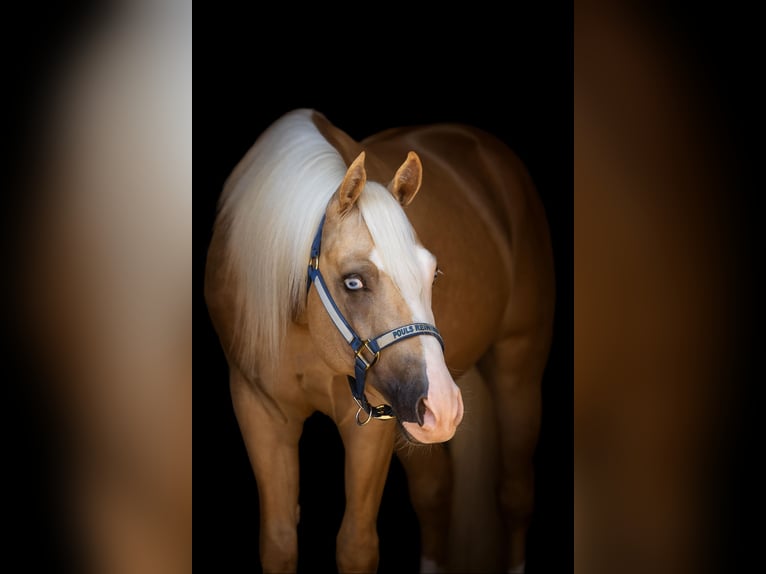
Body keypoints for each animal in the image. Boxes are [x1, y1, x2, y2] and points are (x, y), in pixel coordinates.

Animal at [204, 109, 555, 573]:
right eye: (354, 281)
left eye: (433, 274)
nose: (443, 404)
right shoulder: (258, 408)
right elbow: (278, 542)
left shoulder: (372, 426)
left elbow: (356, 545)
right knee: (435, 495)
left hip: (518, 368)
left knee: (514, 495)